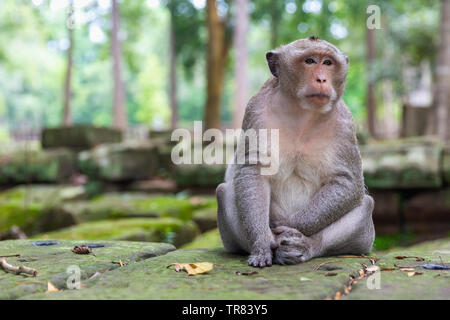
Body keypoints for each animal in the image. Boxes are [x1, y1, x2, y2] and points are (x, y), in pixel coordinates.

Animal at [216, 36, 374, 268]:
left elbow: (348, 182)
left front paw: (291, 230)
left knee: (365, 205)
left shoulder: (345, 123)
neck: (303, 113)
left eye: (328, 63)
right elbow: (253, 172)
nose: (321, 79)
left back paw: (306, 247)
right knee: (225, 192)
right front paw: (262, 245)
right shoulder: (256, 110)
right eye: (309, 61)